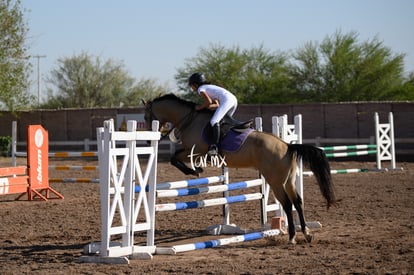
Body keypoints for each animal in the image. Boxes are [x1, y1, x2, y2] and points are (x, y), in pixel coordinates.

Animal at [144, 94, 334, 245]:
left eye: (146, 117)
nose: (147, 141)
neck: (190, 120)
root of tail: (287, 145)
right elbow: (176, 157)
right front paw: (196, 170)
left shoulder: (195, 150)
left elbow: (174, 158)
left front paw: (194, 171)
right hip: (289, 181)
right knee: (297, 202)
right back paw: (307, 233)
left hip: (275, 181)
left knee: (287, 205)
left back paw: (292, 236)